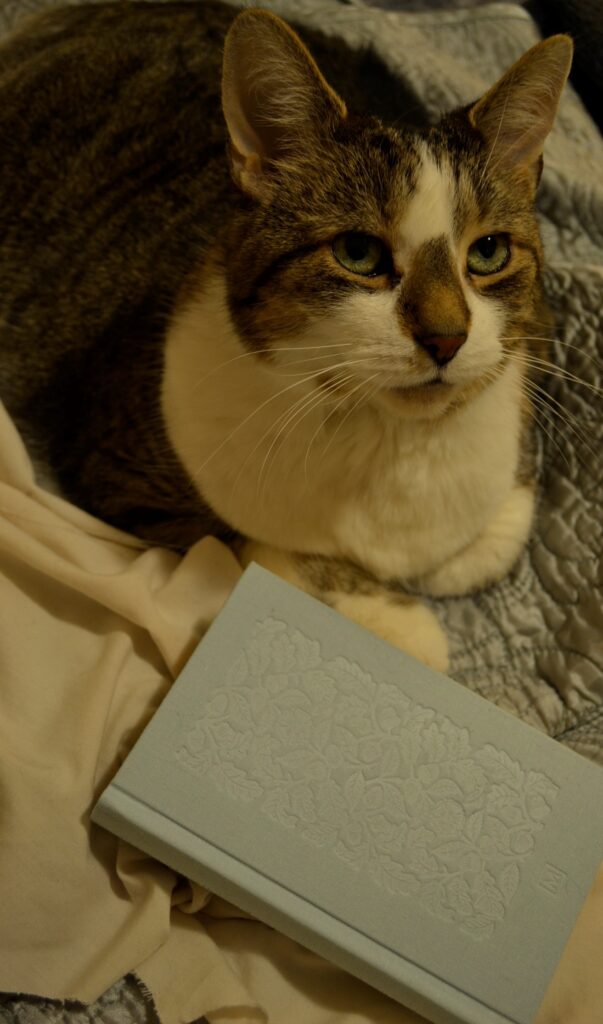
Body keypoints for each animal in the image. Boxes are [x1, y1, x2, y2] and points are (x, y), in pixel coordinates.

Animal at [0, 2, 569, 671]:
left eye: (488, 252)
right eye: (358, 252)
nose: (446, 338)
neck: (389, 442)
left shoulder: (537, 345)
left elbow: (487, 543)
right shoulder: (117, 467)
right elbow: (256, 546)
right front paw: (400, 622)